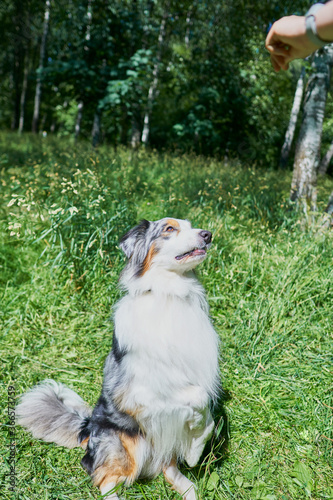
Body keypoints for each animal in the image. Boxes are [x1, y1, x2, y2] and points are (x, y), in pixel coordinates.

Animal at [18, 218, 220, 500]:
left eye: (191, 226)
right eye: (169, 229)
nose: (208, 234)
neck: (170, 294)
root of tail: (87, 425)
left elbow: (207, 413)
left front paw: (194, 449)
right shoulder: (140, 392)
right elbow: (198, 396)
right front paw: (194, 439)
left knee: (168, 468)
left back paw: (188, 488)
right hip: (128, 444)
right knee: (104, 479)